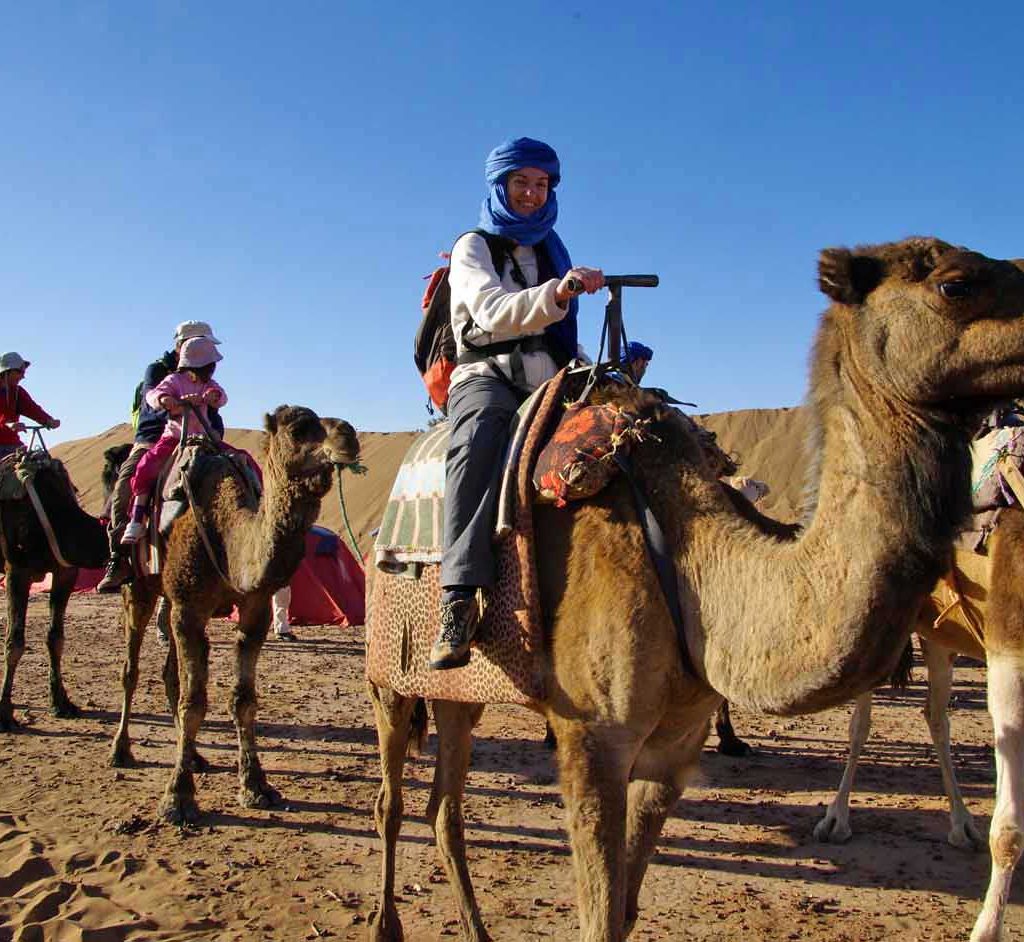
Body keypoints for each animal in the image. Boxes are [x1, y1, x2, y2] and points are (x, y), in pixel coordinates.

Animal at [0, 450, 108, 729]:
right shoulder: (17, 570)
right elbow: (14, 642)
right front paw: (5, 712)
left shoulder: (65, 572)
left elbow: (55, 638)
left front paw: (61, 702)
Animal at [110, 405, 358, 823]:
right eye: (298, 428)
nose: (349, 436)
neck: (228, 535)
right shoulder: (189, 607)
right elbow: (194, 702)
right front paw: (177, 797)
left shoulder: (254, 607)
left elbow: (242, 700)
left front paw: (256, 785)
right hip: (140, 586)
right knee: (132, 669)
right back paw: (120, 750)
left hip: (169, 598)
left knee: (170, 672)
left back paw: (194, 756)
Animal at [368, 240, 1024, 942]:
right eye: (956, 285)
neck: (690, 561)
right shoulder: (592, 741)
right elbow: (599, 919)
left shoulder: (675, 749)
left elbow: (625, 913)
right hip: (389, 675)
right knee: (391, 802)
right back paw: (386, 920)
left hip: (462, 695)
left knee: (444, 808)